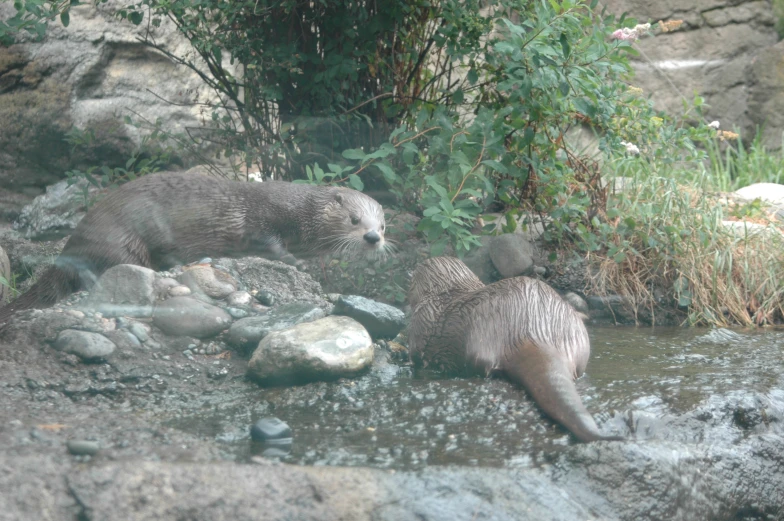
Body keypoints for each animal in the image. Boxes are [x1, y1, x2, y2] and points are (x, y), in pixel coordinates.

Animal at [0, 171, 386, 324]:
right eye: (354, 219)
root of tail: (71, 244)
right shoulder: (263, 219)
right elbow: (268, 244)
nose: (373, 238)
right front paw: (295, 262)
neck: (299, 212)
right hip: (122, 240)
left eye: (382, 225)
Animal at [408, 254, 620, 440]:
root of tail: (533, 329)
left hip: (481, 338)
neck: (441, 294)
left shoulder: (420, 324)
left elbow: (416, 355)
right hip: (575, 333)